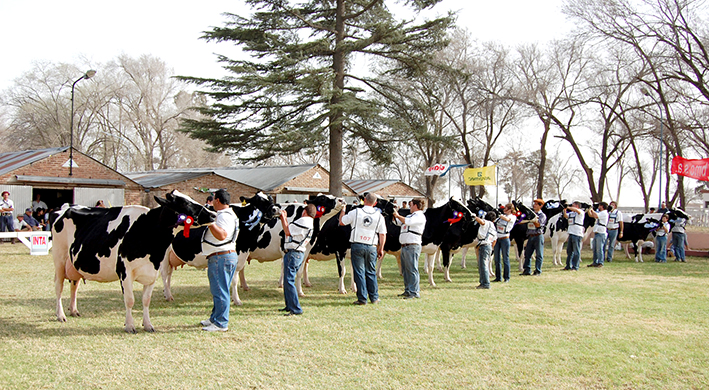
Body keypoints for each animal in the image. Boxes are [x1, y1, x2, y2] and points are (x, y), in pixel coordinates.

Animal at [52, 190, 214, 334]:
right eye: (184, 203)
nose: (212, 214)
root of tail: (68, 206)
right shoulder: (125, 272)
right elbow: (130, 300)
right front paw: (129, 326)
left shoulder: (152, 272)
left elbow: (146, 300)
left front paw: (148, 325)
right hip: (59, 259)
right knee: (59, 287)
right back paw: (61, 315)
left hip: (74, 263)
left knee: (74, 285)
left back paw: (74, 310)